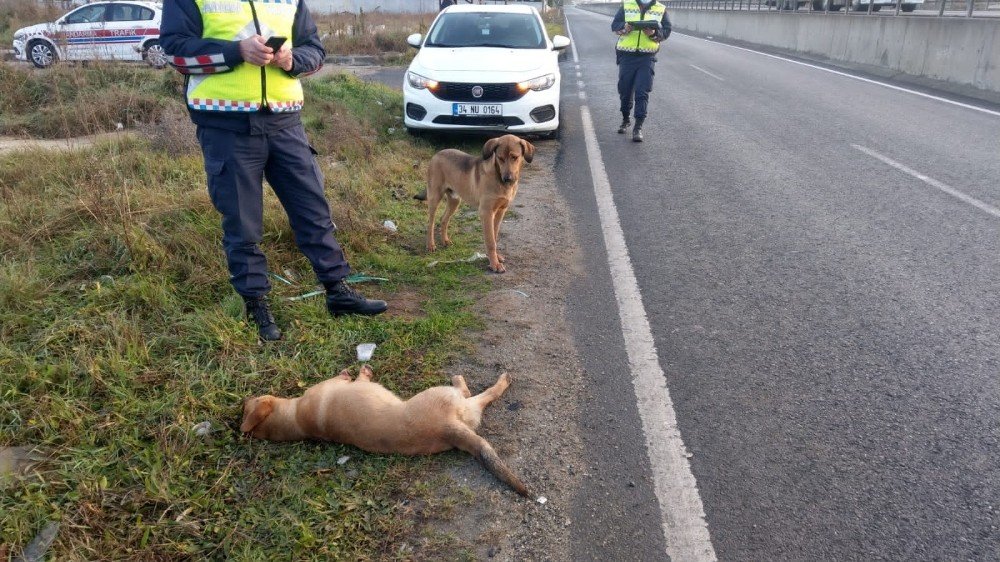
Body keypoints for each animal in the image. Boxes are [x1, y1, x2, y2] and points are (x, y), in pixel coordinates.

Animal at [239, 364, 536, 494]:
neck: (296, 418)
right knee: (478, 393)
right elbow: (352, 378)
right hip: (450, 397)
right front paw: (355, 373)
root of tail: (447, 428)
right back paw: (487, 380)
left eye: (246, 405)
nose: (243, 400)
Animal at [420, 132, 536, 272]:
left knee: (443, 219)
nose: (507, 178)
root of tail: (437, 154)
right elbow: (490, 240)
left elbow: (494, 236)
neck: (498, 178)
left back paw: (445, 241)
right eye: (500, 158)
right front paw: (494, 264)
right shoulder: (486, 212)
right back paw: (430, 245)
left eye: (515, 157)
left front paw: (495, 257)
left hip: (455, 200)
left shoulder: (500, 211)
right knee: (430, 223)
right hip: (434, 197)